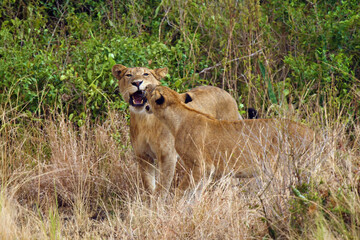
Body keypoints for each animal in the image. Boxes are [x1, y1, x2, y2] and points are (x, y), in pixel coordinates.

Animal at [112, 64, 242, 195]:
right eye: (128, 75)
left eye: (146, 74)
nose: (137, 82)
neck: (145, 121)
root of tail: (227, 93)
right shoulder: (143, 157)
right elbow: (148, 186)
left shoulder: (167, 156)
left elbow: (161, 188)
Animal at [146, 85, 316, 192]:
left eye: (152, 90)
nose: (145, 87)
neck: (177, 118)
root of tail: (312, 132)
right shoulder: (206, 172)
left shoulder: (202, 166)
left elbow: (182, 193)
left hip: (282, 169)